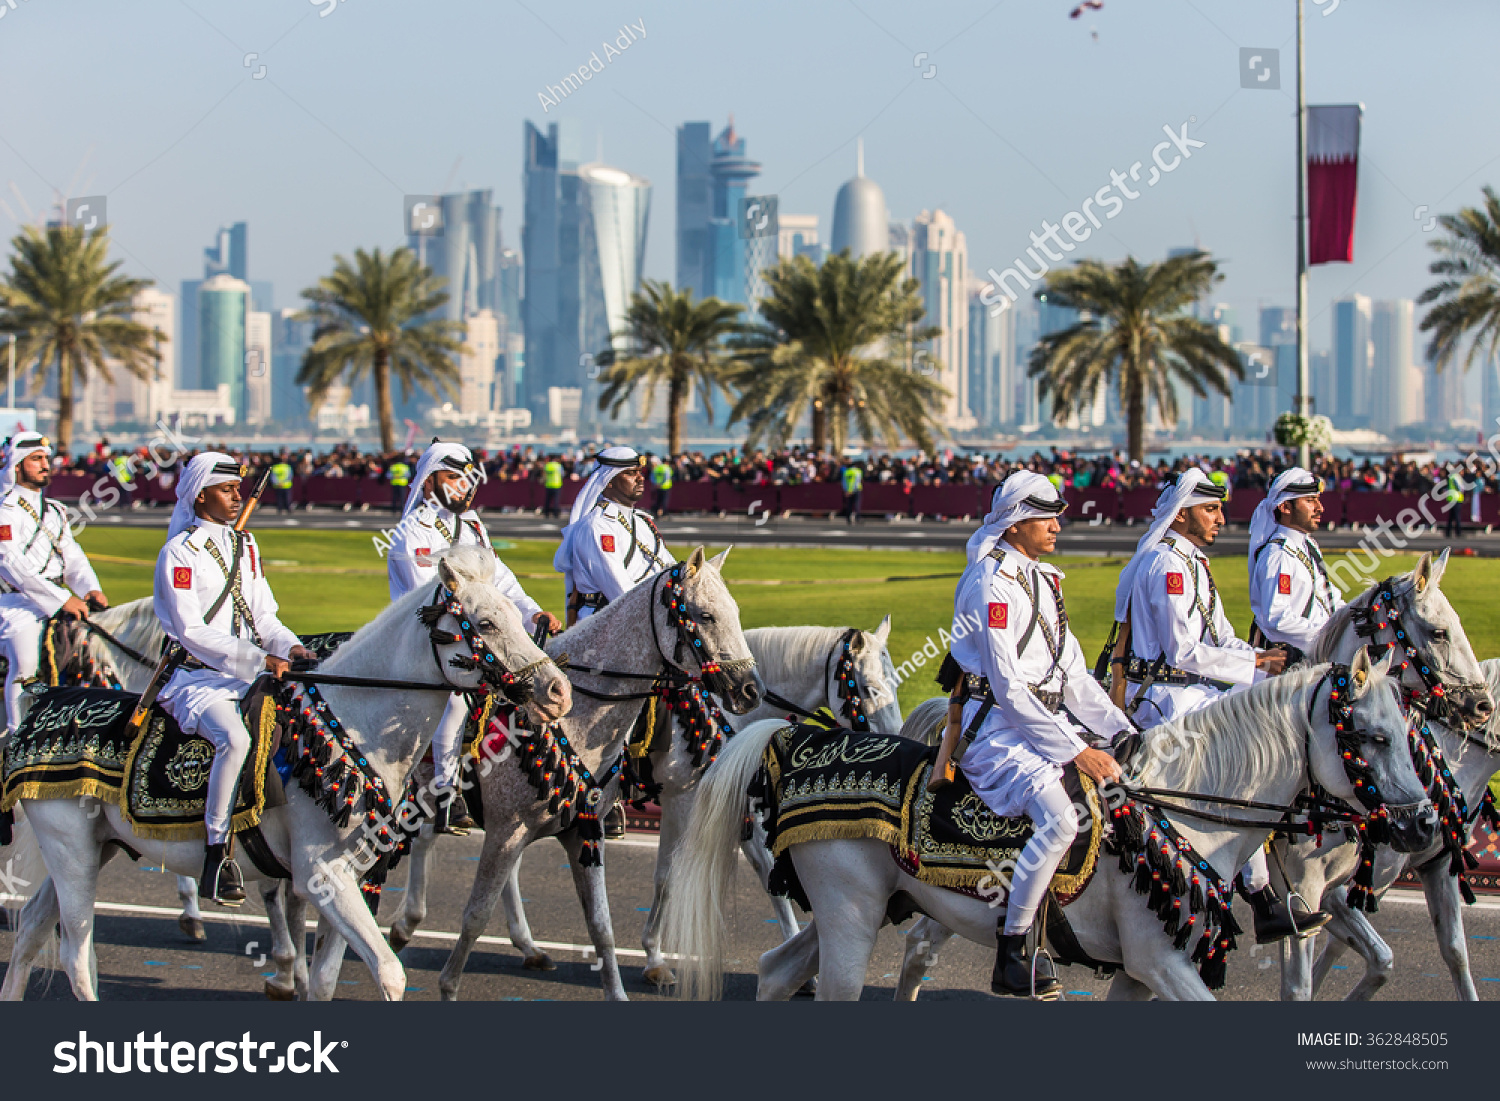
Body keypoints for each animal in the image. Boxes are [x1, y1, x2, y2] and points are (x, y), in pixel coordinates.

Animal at [0, 549, 570, 1002]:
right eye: (486, 623)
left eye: (514, 614)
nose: (558, 690)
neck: (352, 725)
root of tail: (41, 702)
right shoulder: (322, 876)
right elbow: (389, 972)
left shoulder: (352, 876)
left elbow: (324, 981)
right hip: (71, 852)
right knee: (75, 954)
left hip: (98, 847)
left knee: (30, 930)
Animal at [271, 549, 762, 1002]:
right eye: (705, 615)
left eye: (738, 612)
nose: (750, 690)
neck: (576, 717)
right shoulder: (519, 826)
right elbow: (475, 916)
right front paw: (448, 986)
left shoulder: (580, 829)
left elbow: (602, 926)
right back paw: (289, 968)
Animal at [381, 621, 900, 990]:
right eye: (869, 689)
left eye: (894, 686)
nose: (896, 741)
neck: (724, 711)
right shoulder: (683, 797)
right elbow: (668, 875)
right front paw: (653, 957)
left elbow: (769, 874)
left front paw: (800, 966)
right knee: (427, 837)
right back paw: (406, 924)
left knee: (502, 866)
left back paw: (527, 946)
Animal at [669, 651, 1440, 1002]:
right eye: (1369, 737)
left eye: (1408, 730)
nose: (1424, 822)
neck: (1181, 811)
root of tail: (794, 741)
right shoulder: (1162, 963)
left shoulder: (1140, 971)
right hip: (851, 917)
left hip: (869, 910)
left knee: (777, 970)